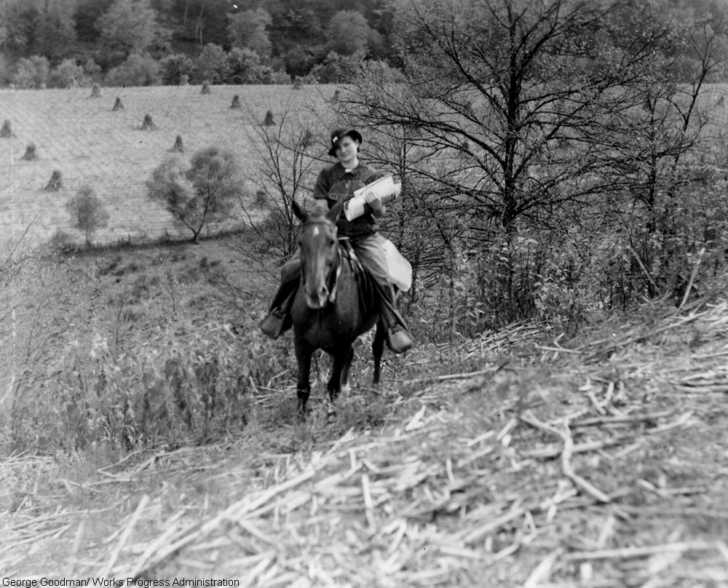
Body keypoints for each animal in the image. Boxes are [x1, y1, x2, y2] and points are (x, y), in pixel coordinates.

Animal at [288, 202, 386, 418]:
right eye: (300, 243)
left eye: (331, 242)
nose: (316, 293)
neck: (321, 310)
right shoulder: (301, 345)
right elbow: (303, 387)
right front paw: (300, 419)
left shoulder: (341, 344)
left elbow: (332, 387)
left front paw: (332, 414)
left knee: (377, 349)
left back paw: (375, 389)